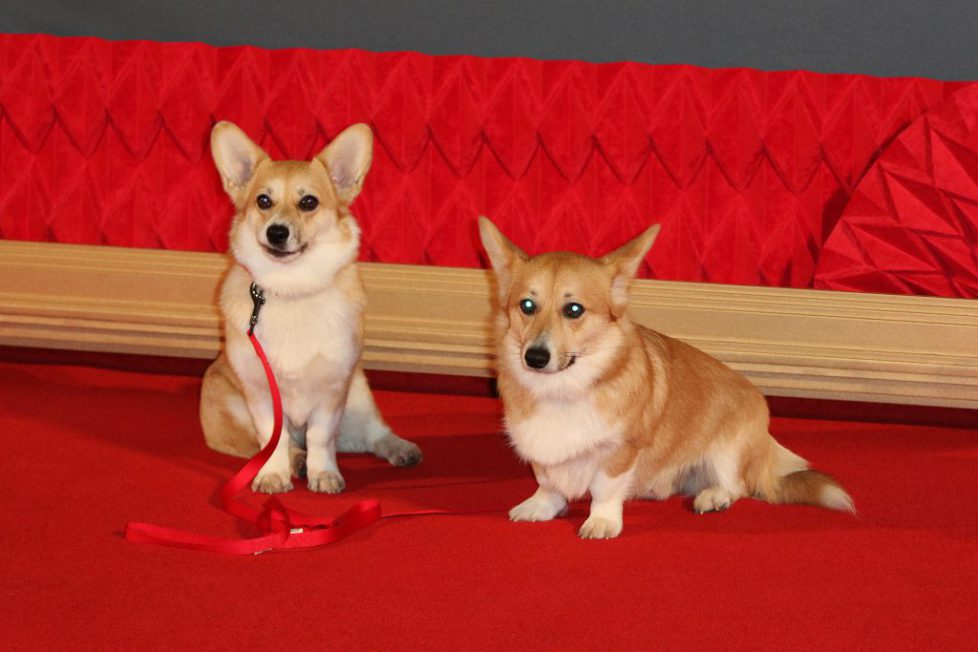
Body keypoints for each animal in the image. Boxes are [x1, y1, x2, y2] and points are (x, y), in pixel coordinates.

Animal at [200, 119, 422, 492]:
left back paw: (399, 449)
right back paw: (295, 462)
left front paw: (325, 474)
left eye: (308, 202)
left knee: (372, 435)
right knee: (279, 445)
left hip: (358, 395)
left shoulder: (332, 392)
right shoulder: (262, 396)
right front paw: (273, 475)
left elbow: (321, 438)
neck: (292, 289)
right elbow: (273, 441)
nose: (276, 232)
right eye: (263, 201)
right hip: (233, 406)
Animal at [476, 219, 852, 540]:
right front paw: (542, 506)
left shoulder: (622, 451)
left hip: (728, 450)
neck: (562, 389)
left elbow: (605, 489)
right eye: (527, 305)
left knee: (739, 486)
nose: (535, 358)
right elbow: (548, 481)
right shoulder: (540, 449)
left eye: (574, 310)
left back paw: (713, 497)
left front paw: (602, 521)